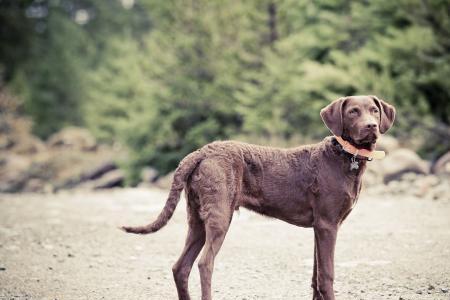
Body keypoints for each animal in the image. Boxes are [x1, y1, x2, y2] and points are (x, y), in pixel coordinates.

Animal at [122, 95, 394, 298]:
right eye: (353, 112)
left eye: (374, 111)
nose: (371, 126)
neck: (345, 156)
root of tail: (201, 152)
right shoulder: (327, 224)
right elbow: (326, 276)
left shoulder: (320, 227)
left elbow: (316, 276)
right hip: (220, 216)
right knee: (204, 263)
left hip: (197, 218)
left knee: (181, 267)